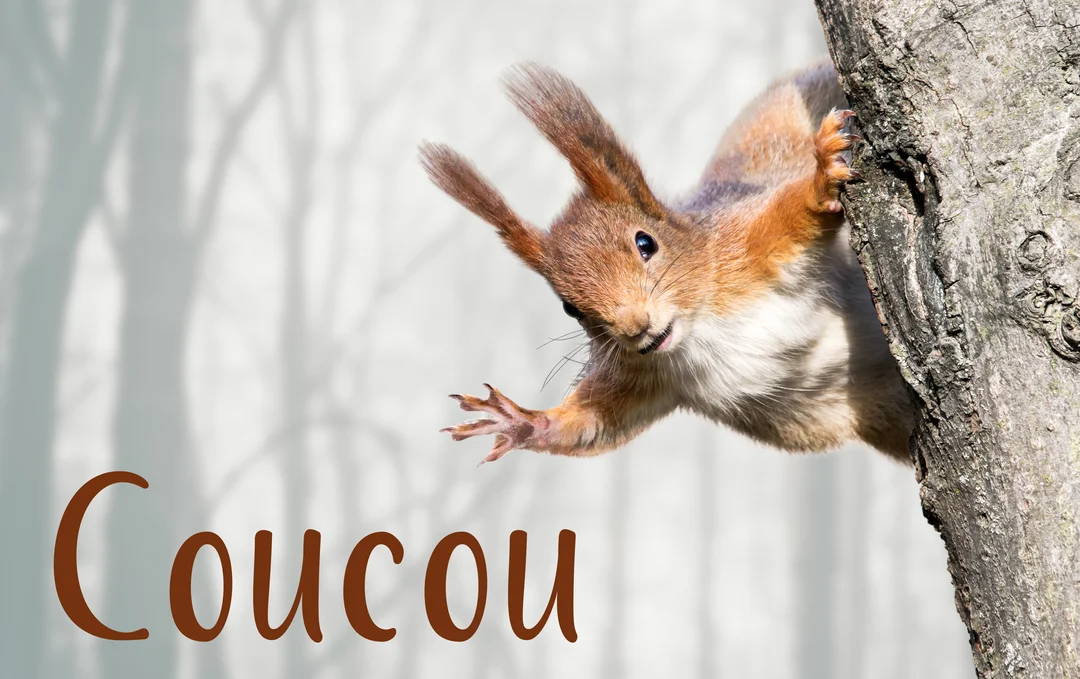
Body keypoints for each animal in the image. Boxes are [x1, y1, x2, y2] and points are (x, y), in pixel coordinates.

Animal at [420, 61, 914, 465]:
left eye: (646, 243)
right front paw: (521, 421)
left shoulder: (744, 246)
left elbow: (792, 214)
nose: (636, 328)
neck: (699, 329)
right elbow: (594, 424)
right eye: (569, 308)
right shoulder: (643, 376)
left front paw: (821, 177)